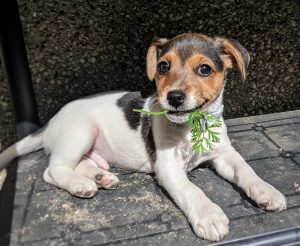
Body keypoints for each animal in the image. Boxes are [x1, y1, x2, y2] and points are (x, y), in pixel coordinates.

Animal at [0, 33, 286, 242]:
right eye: (163, 66)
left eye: (204, 69)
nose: (174, 97)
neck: (191, 128)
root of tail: (50, 122)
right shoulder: (167, 167)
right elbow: (191, 190)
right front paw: (208, 215)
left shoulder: (224, 153)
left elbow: (246, 170)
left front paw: (267, 191)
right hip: (80, 131)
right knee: (52, 170)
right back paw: (80, 184)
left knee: (81, 162)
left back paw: (99, 177)